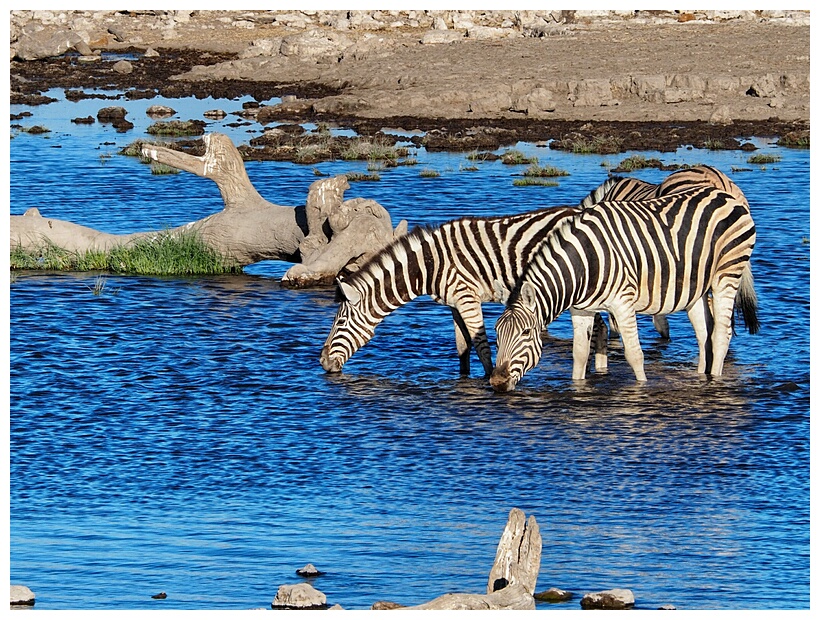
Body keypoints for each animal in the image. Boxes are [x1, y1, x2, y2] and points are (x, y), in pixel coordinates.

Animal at [490, 183, 760, 392]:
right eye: (497, 333)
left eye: (526, 333)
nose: (497, 383)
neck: (585, 264)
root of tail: (725, 195)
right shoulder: (581, 309)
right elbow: (580, 354)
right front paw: (578, 388)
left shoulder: (623, 303)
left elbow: (634, 354)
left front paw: (641, 388)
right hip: (696, 287)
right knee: (704, 335)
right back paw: (700, 379)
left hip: (727, 273)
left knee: (721, 334)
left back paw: (716, 381)